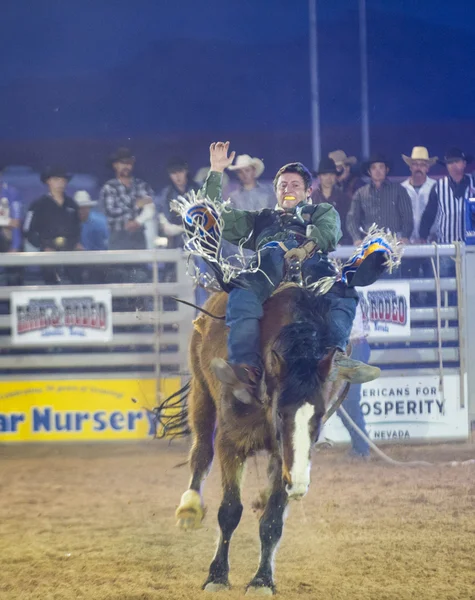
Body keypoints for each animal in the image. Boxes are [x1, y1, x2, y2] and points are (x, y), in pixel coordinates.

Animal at [175, 286, 342, 596]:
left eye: (321, 414)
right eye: (280, 412)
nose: (299, 484)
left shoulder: (284, 458)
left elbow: (272, 521)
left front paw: (262, 580)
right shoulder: (230, 443)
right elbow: (229, 511)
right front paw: (217, 575)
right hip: (201, 392)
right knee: (201, 452)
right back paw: (189, 507)